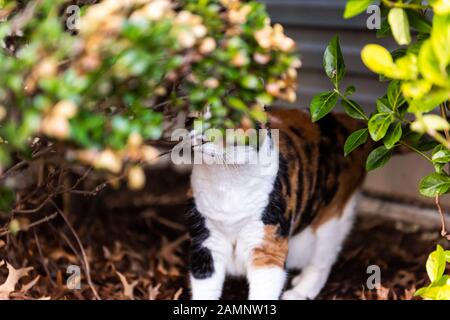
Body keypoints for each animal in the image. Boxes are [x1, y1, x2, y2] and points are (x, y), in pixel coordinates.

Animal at [188, 108, 370, 300]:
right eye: (194, 118)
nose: (200, 138)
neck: (227, 180)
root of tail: (347, 119)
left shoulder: (268, 246)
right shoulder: (206, 241)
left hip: (330, 219)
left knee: (322, 260)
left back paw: (299, 292)